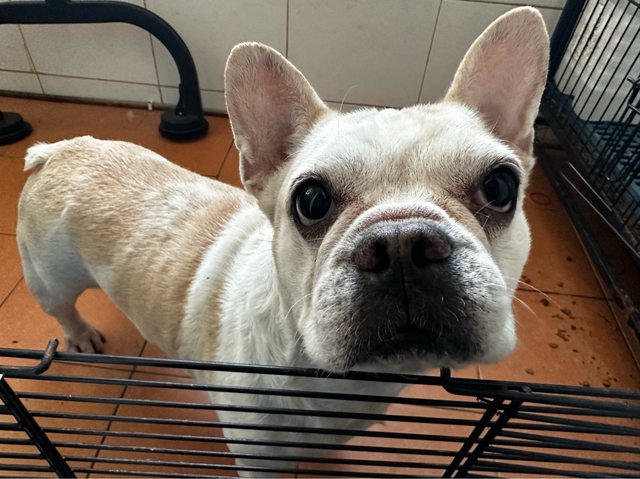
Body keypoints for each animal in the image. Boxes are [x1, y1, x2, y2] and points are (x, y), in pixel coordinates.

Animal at [16, 6, 548, 474]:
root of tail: (62, 150)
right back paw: (81, 334)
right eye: (310, 200)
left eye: (501, 187)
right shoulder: (258, 457)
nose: (402, 242)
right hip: (49, 276)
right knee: (61, 307)